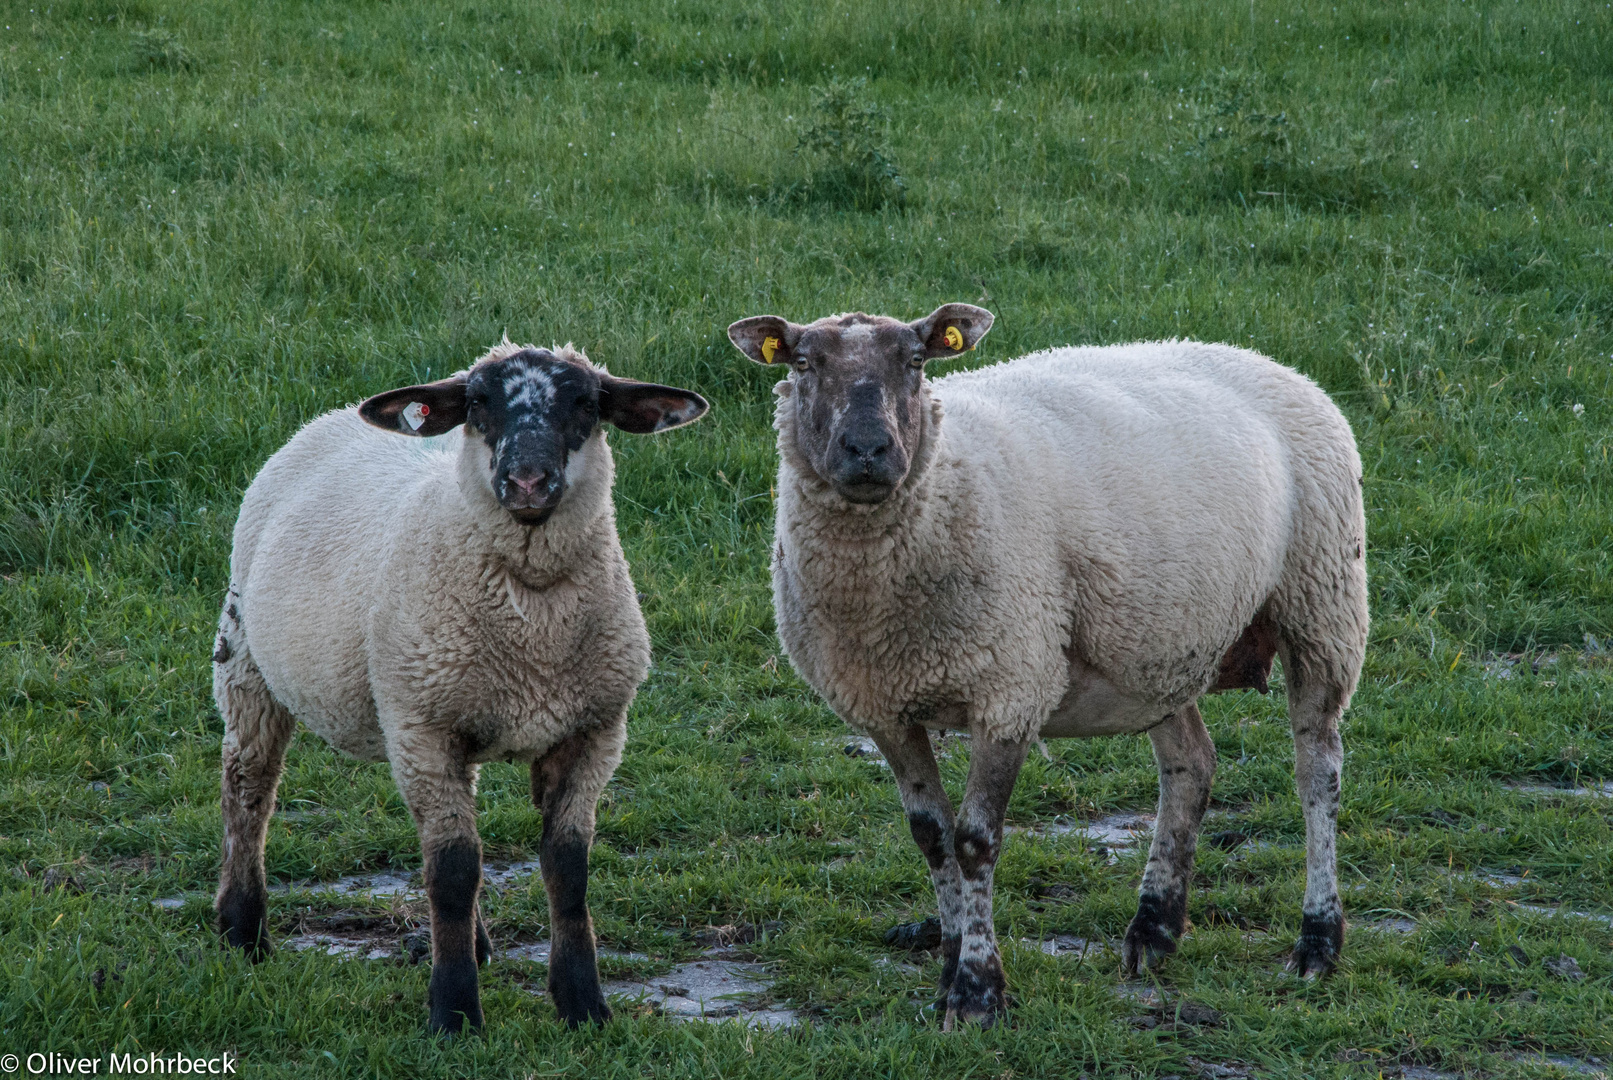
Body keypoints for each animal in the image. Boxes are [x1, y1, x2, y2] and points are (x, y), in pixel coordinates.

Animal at [208, 343, 706, 1038]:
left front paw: (584, 1005)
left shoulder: (594, 732)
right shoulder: (423, 728)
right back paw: (243, 929)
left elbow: (567, 869)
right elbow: (450, 871)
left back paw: (476, 943)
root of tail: (332, 415)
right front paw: (454, 1013)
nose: (527, 482)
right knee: (249, 787)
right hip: (246, 658)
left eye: (586, 403)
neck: (533, 619)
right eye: (477, 402)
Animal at [732, 304, 1374, 1031]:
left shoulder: (1011, 684)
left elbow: (974, 842)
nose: (867, 450)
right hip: (1160, 644)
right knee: (1190, 765)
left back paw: (1316, 942)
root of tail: (1272, 364)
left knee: (1317, 773)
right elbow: (931, 838)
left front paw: (977, 992)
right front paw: (949, 968)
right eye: (803, 362)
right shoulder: (882, 706)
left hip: (1321, 603)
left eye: (915, 362)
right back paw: (1153, 931)